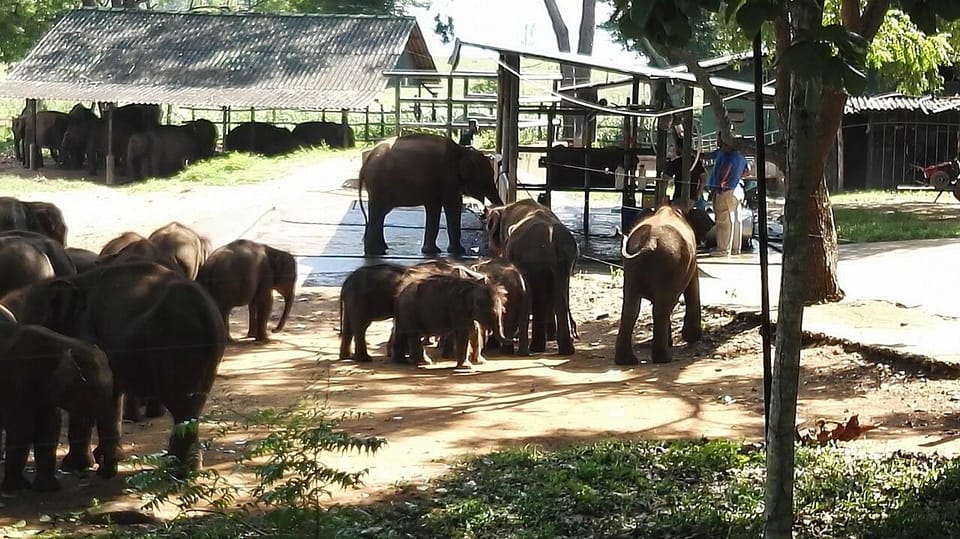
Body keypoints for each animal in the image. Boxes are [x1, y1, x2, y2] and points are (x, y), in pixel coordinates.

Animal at [0, 264, 229, 474]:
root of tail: (206, 312)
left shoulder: (84, 335)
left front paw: (76, 466)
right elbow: (110, 396)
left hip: (178, 345)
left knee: (182, 405)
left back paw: (177, 470)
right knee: (191, 407)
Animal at [360, 132, 506, 256]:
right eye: (487, 177)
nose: (485, 212)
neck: (461, 150)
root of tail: (367, 160)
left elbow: (434, 207)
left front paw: (431, 252)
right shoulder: (448, 177)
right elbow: (453, 205)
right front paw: (459, 252)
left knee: (380, 213)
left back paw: (381, 249)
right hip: (379, 185)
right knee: (378, 213)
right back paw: (377, 252)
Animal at [488, 200, 576, 356]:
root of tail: (552, 239)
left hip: (534, 260)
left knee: (540, 298)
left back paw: (537, 347)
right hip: (564, 260)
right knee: (559, 294)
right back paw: (566, 350)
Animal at [616, 205, 704, 364]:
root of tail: (649, 241)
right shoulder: (690, 262)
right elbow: (692, 287)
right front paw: (692, 337)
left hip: (633, 267)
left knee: (631, 308)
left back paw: (626, 360)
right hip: (669, 262)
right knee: (662, 308)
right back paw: (664, 358)